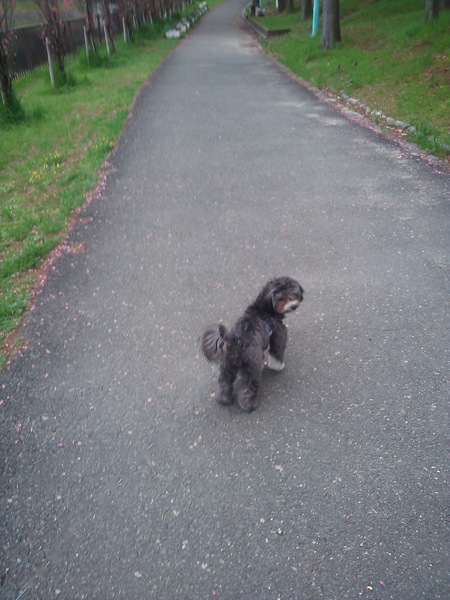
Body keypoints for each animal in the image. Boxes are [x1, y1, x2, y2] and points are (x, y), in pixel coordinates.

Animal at [201, 276, 304, 412]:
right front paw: (278, 367)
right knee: (248, 388)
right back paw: (249, 405)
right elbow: (277, 354)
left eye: (293, 293)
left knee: (224, 383)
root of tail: (234, 345)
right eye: (281, 298)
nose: (293, 306)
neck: (264, 309)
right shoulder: (278, 336)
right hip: (252, 368)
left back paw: (223, 400)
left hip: (227, 368)